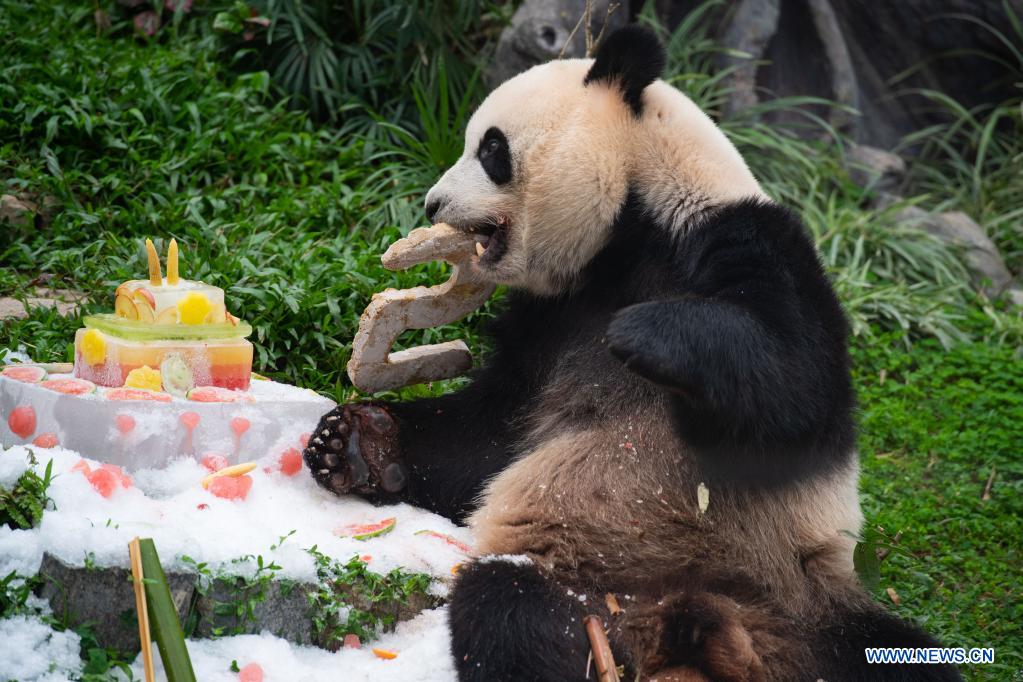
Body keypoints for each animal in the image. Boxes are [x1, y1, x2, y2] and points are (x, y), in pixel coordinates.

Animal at [302, 25, 957, 682]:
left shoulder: (744, 239)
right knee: (511, 611)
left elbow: (796, 387)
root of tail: (691, 629)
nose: (433, 205)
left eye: (491, 149)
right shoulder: (552, 317)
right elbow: (492, 434)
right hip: (582, 586)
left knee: (890, 656)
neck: (625, 237)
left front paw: (646, 335)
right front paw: (356, 442)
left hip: (808, 604)